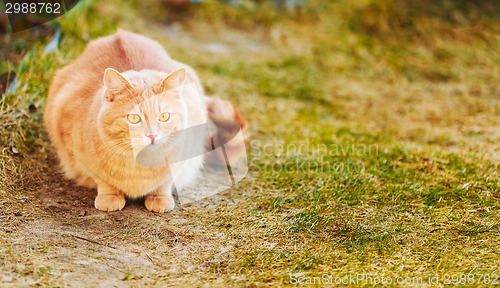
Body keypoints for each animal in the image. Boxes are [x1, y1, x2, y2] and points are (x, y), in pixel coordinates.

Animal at [44, 29, 246, 212]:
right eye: (134, 118)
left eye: (164, 116)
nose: (152, 135)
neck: (140, 167)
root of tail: (120, 33)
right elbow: (103, 180)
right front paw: (110, 196)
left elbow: (166, 181)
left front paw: (159, 198)